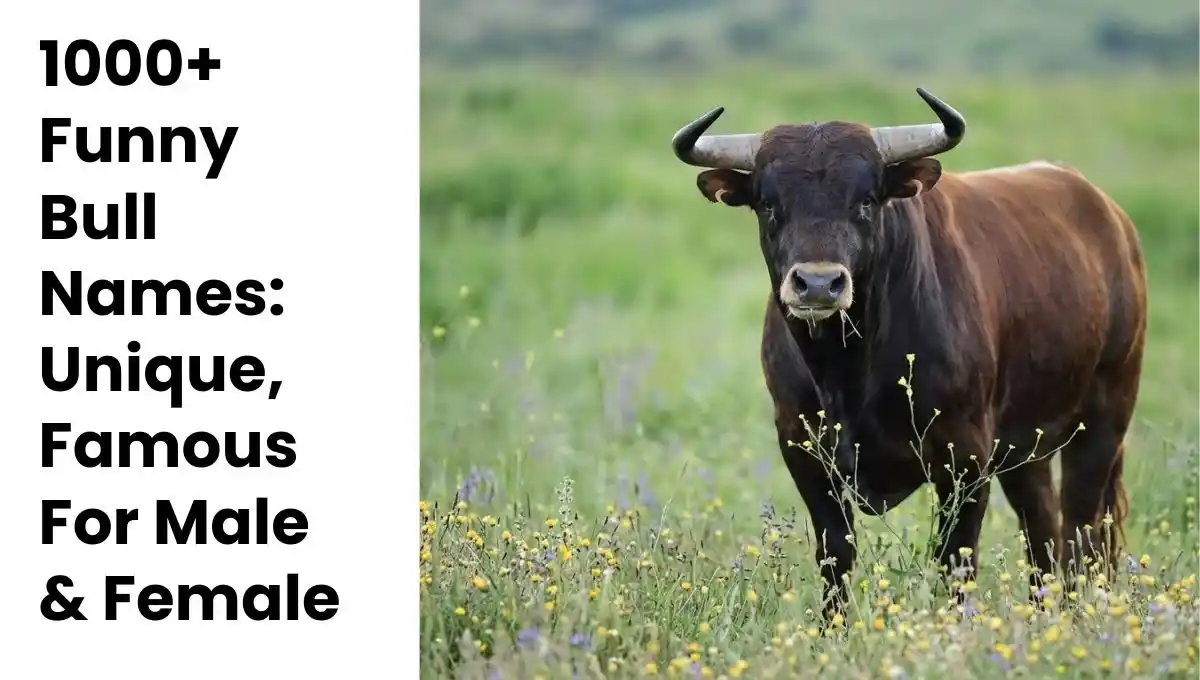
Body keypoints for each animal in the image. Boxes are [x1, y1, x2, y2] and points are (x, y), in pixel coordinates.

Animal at [670, 88, 1147, 616]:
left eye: (865, 200)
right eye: (769, 204)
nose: (818, 283)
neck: (849, 370)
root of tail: (1110, 216)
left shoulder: (965, 455)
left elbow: (956, 557)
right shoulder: (802, 448)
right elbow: (835, 553)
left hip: (1104, 420)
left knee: (1082, 530)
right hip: (1028, 447)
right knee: (1043, 528)